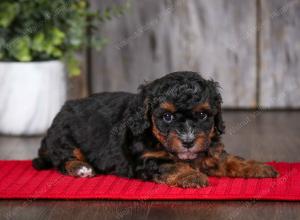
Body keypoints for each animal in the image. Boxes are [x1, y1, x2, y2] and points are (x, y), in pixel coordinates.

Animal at [32, 72, 278, 187]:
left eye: (202, 115)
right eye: (166, 117)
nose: (188, 141)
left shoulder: (209, 149)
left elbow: (230, 160)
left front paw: (258, 167)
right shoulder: (147, 160)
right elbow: (171, 165)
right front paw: (191, 175)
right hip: (64, 137)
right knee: (62, 160)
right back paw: (81, 168)